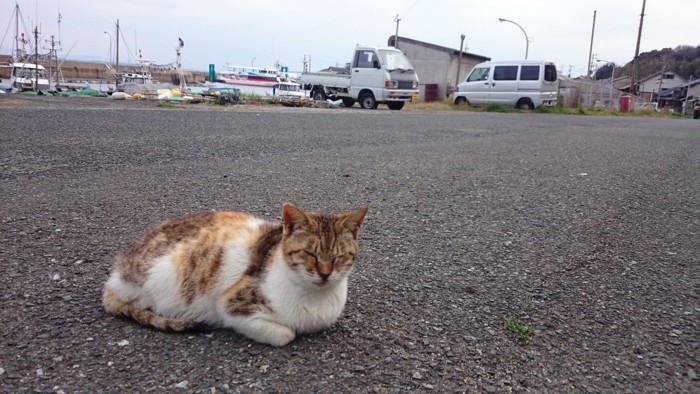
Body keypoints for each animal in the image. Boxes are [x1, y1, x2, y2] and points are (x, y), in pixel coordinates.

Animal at [105, 203, 366, 344]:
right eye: (310, 254)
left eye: (338, 257)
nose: (324, 275)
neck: (316, 298)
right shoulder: (229, 304)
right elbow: (286, 334)